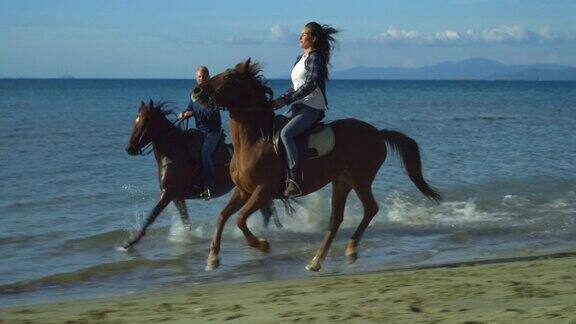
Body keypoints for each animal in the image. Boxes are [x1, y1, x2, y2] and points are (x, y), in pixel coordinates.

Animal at [124, 100, 282, 249]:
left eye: (144, 123)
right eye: (135, 121)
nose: (129, 149)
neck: (174, 152)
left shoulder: (168, 192)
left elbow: (152, 216)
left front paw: (130, 243)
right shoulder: (177, 197)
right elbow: (185, 220)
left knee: (267, 212)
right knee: (267, 212)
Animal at [194, 58, 440, 270]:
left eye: (228, 77)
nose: (196, 91)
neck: (254, 140)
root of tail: (378, 134)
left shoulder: (263, 191)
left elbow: (239, 219)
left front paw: (262, 245)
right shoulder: (243, 190)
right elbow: (223, 216)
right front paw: (213, 258)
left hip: (361, 180)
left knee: (370, 209)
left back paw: (349, 250)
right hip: (342, 181)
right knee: (336, 219)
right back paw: (317, 260)